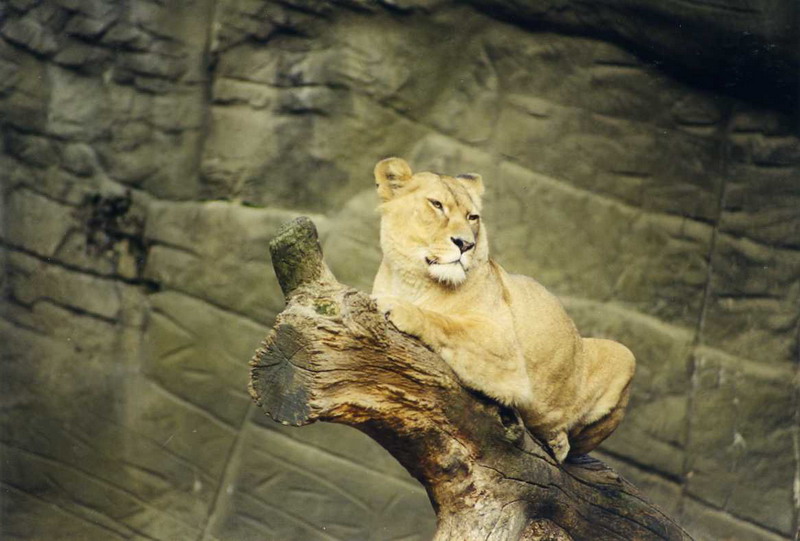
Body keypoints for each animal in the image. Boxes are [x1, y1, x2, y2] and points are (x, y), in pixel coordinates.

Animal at [371, 157, 635, 463]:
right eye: (436, 205)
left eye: (472, 217)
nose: (465, 244)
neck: (413, 280)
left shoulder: (504, 350)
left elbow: (445, 322)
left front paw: (398, 307)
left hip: (625, 355)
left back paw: (556, 440)